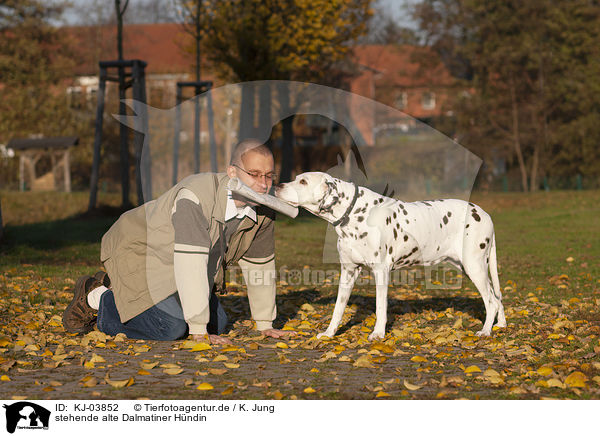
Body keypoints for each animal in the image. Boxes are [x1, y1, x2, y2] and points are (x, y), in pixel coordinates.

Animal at [276, 172, 506, 338]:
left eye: (303, 181)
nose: (277, 186)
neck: (355, 213)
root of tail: (485, 214)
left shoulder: (381, 272)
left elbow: (380, 307)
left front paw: (378, 334)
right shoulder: (348, 272)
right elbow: (338, 309)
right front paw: (329, 333)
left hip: (474, 268)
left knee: (491, 301)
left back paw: (486, 331)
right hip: (471, 268)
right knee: (496, 297)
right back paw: (500, 324)